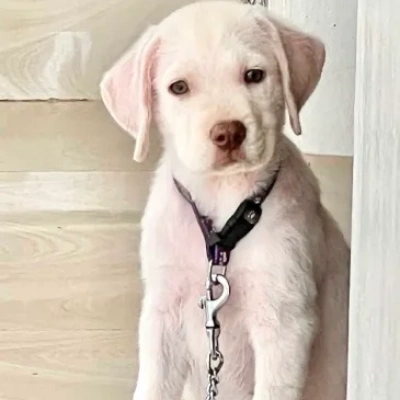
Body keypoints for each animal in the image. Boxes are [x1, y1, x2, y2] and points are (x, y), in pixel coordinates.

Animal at [101, 1, 350, 398]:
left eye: (254, 75)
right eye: (179, 87)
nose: (228, 133)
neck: (224, 209)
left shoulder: (284, 324)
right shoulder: (162, 316)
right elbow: (152, 387)